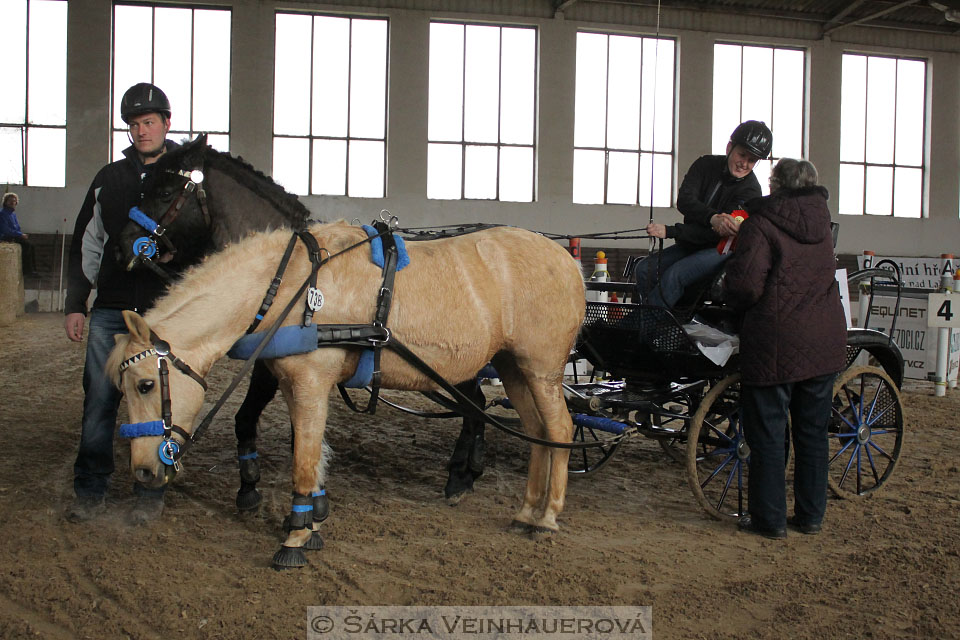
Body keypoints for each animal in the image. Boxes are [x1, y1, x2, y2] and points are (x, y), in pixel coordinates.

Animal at [108, 221, 580, 568]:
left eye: (145, 384)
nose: (144, 471)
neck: (294, 285)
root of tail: (567, 261)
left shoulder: (311, 379)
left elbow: (303, 459)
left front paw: (295, 538)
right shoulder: (292, 382)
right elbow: (310, 448)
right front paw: (312, 522)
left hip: (541, 369)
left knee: (559, 429)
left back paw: (546, 517)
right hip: (513, 368)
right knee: (537, 433)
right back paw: (526, 511)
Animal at [121, 135, 492, 510]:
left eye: (165, 191)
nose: (125, 243)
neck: (289, 269)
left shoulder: (270, 363)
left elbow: (249, 419)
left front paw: (252, 486)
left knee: (476, 405)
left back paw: (462, 475)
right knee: (477, 405)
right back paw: (468, 470)